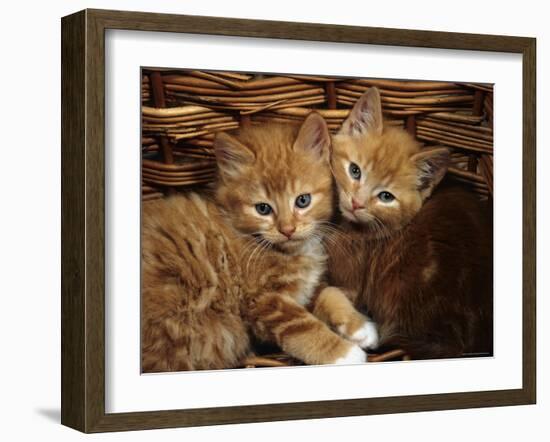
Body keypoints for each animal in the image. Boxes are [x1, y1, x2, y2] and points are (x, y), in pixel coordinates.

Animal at [141, 114, 380, 372]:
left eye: (303, 200)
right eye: (263, 209)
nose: (287, 230)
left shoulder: (303, 290)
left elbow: (329, 292)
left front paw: (361, 327)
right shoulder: (262, 301)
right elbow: (301, 326)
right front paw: (346, 354)